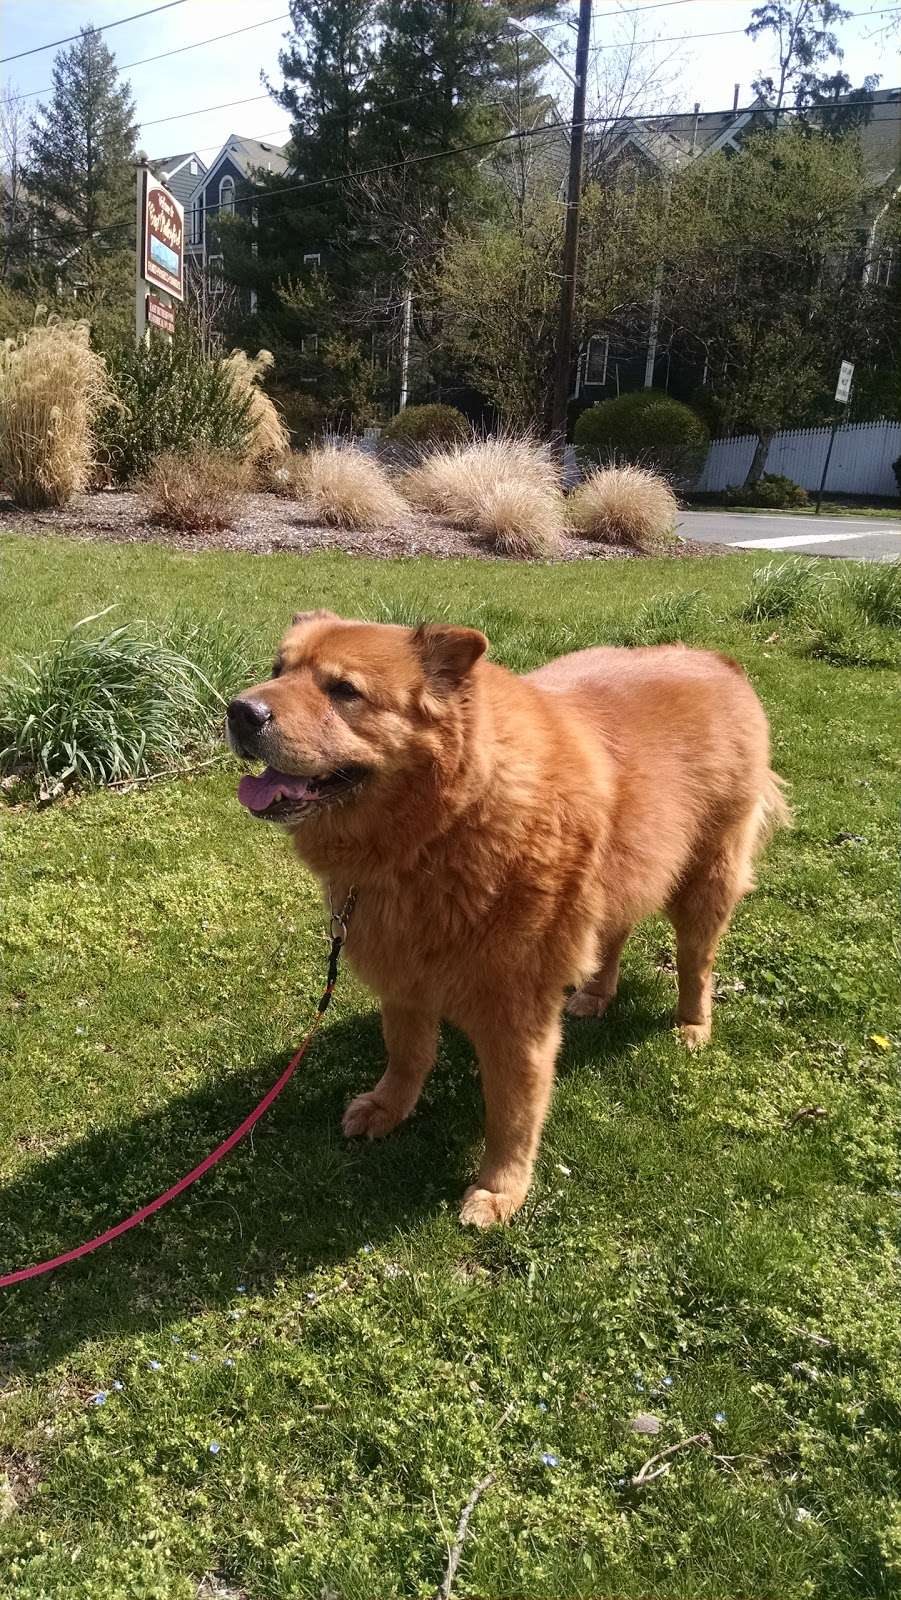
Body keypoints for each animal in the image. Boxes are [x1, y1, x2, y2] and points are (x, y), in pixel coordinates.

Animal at [227, 611, 790, 1222]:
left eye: (344, 690)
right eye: (277, 669)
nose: (240, 711)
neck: (439, 832)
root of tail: (717, 661)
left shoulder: (516, 1015)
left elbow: (511, 1111)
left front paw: (500, 1189)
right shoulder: (403, 974)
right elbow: (406, 1054)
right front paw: (389, 1107)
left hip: (706, 882)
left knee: (696, 962)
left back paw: (692, 1023)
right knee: (614, 934)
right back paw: (596, 993)